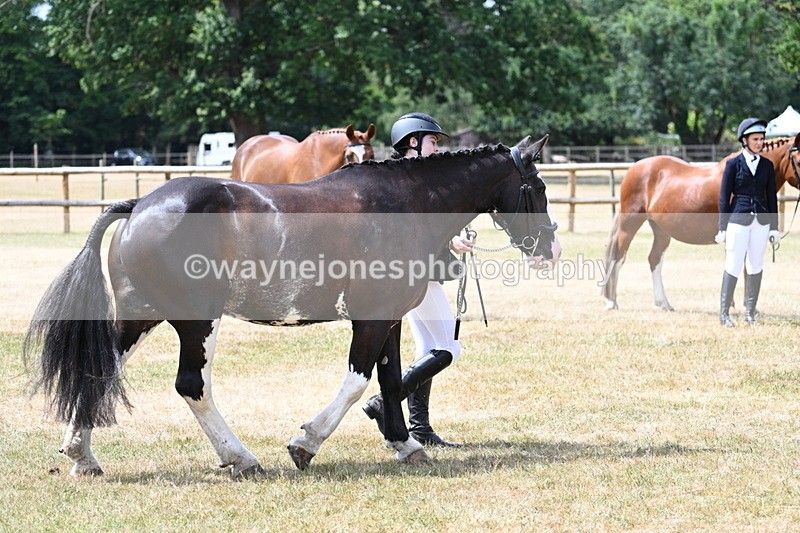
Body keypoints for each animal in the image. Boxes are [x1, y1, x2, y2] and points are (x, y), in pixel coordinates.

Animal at [23, 135, 557, 478]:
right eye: (538, 188)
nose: (549, 249)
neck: (403, 203)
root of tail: (139, 205)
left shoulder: (389, 320)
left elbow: (390, 379)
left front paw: (404, 444)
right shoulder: (371, 320)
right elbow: (357, 382)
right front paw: (306, 444)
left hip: (141, 316)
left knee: (100, 369)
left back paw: (82, 456)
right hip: (197, 322)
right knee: (192, 385)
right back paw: (241, 458)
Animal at [603, 135, 800, 311]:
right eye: (798, 161)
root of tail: (634, 168)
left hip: (661, 230)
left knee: (654, 260)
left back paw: (664, 304)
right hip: (630, 222)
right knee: (618, 255)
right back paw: (611, 302)